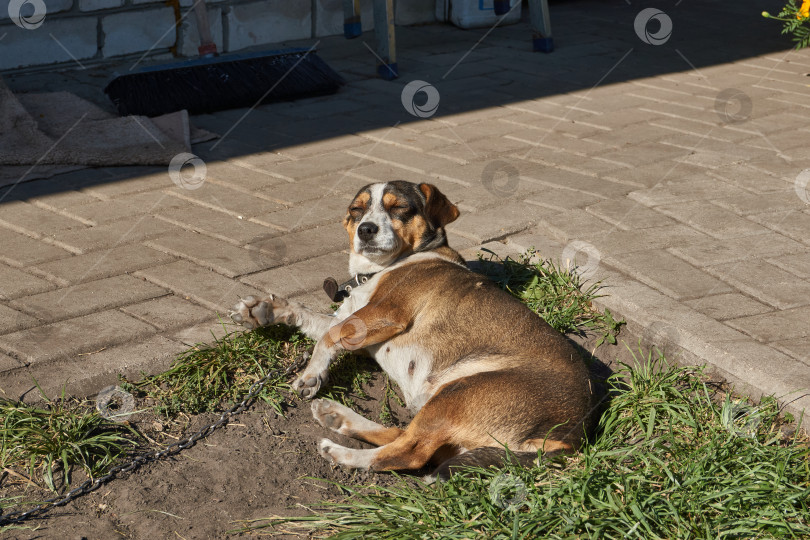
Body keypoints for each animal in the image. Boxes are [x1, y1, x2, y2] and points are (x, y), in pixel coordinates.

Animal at [230, 184, 592, 478]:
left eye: (400, 208)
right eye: (356, 210)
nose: (366, 229)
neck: (379, 270)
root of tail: (569, 437)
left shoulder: (385, 315)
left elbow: (327, 339)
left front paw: (311, 375)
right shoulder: (355, 325)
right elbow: (312, 319)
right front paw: (264, 310)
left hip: (456, 394)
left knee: (409, 453)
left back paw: (344, 454)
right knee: (406, 438)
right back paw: (339, 417)